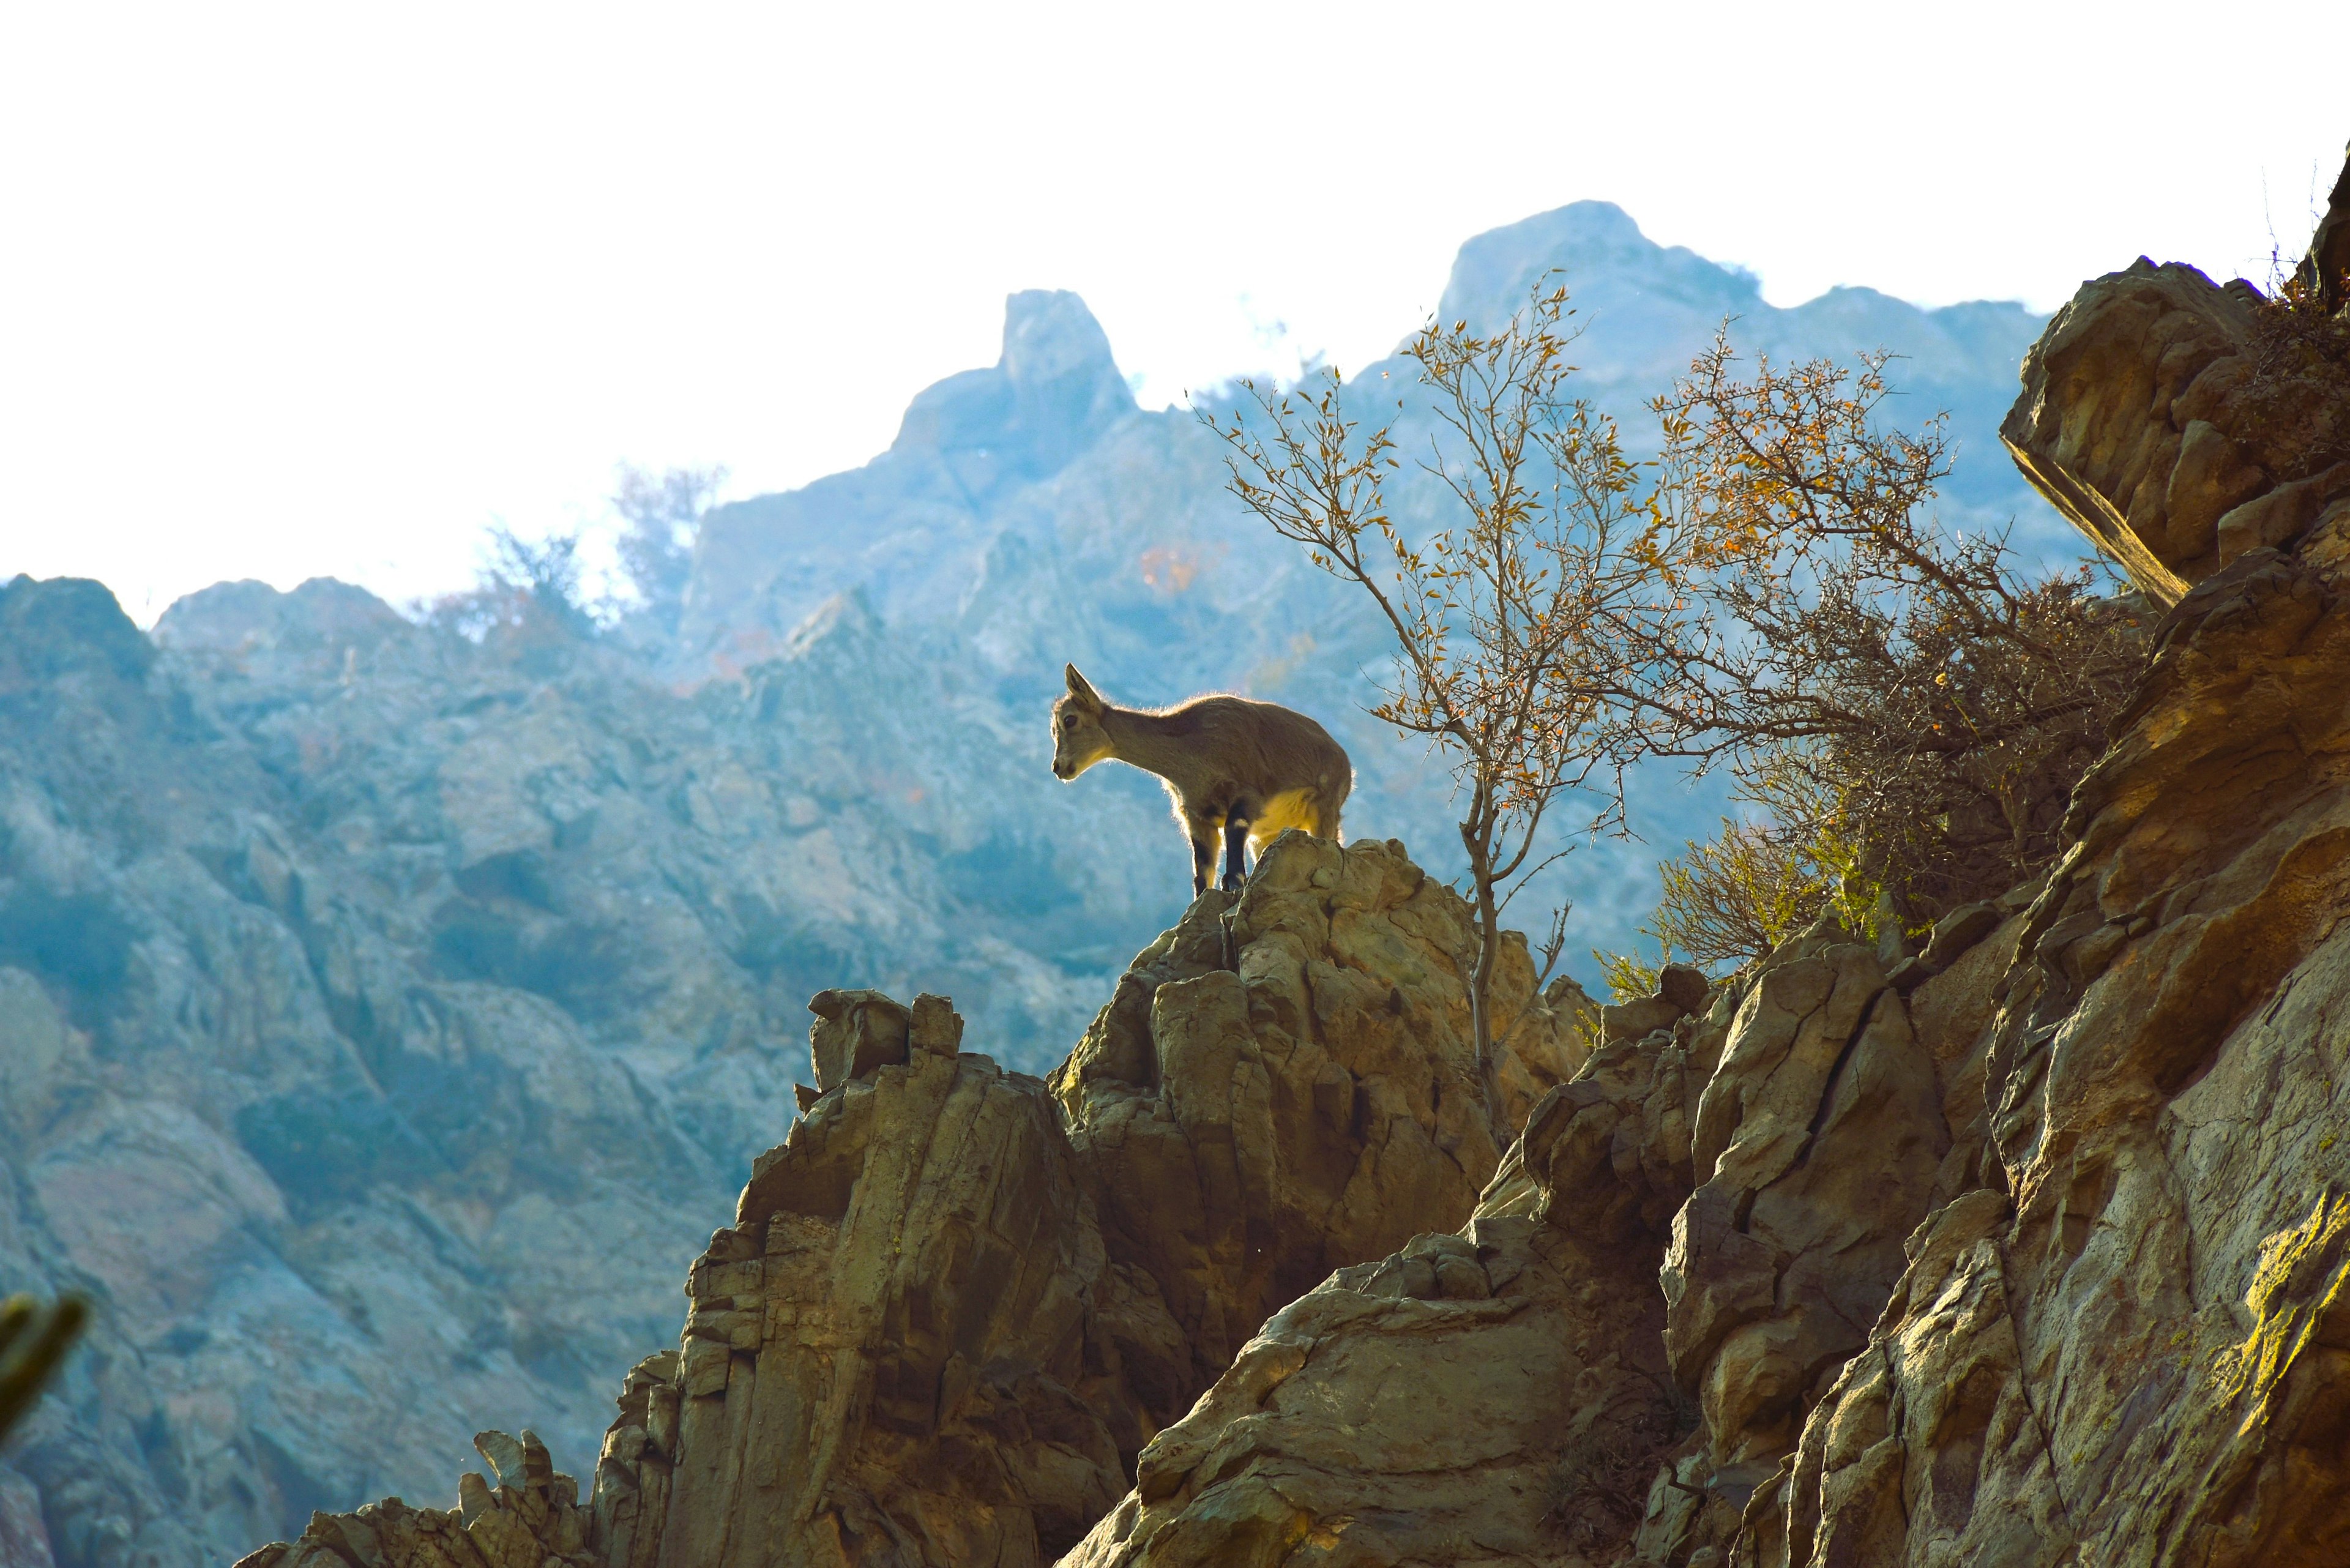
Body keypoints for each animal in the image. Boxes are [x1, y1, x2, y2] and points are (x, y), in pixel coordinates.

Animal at [1053, 663, 1353, 893]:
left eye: (1070, 720)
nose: (1058, 767)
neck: (1192, 749)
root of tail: (1346, 763)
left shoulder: (1246, 792)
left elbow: (1234, 828)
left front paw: (1233, 882)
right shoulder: (1196, 815)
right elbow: (1202, 870)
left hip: (1324, 808)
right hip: (1268, 834)